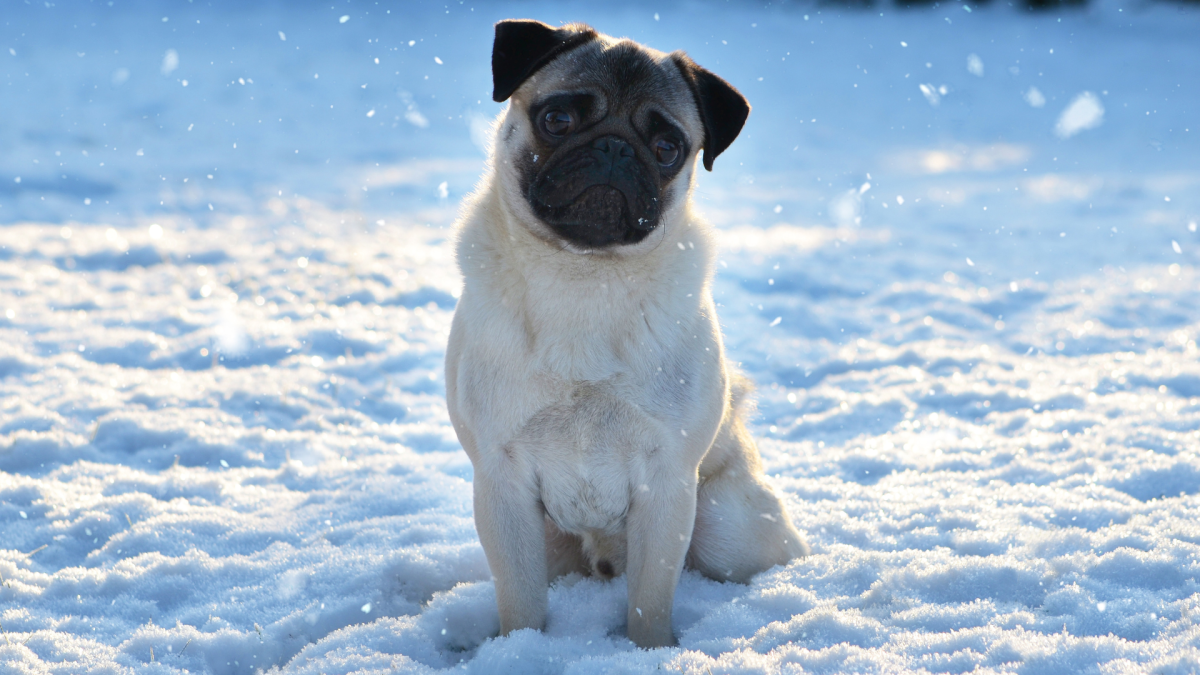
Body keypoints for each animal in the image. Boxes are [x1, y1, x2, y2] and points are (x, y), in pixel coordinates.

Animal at [441, 18, 806, 643]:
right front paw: (518, 648)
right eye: (557, 119)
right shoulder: (501, 482)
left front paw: (650, 649)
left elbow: (650, 598)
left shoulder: (666, 482)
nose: (612, 148)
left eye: (667, 149)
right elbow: (520, 600)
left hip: (725, 524)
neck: (583, 277)